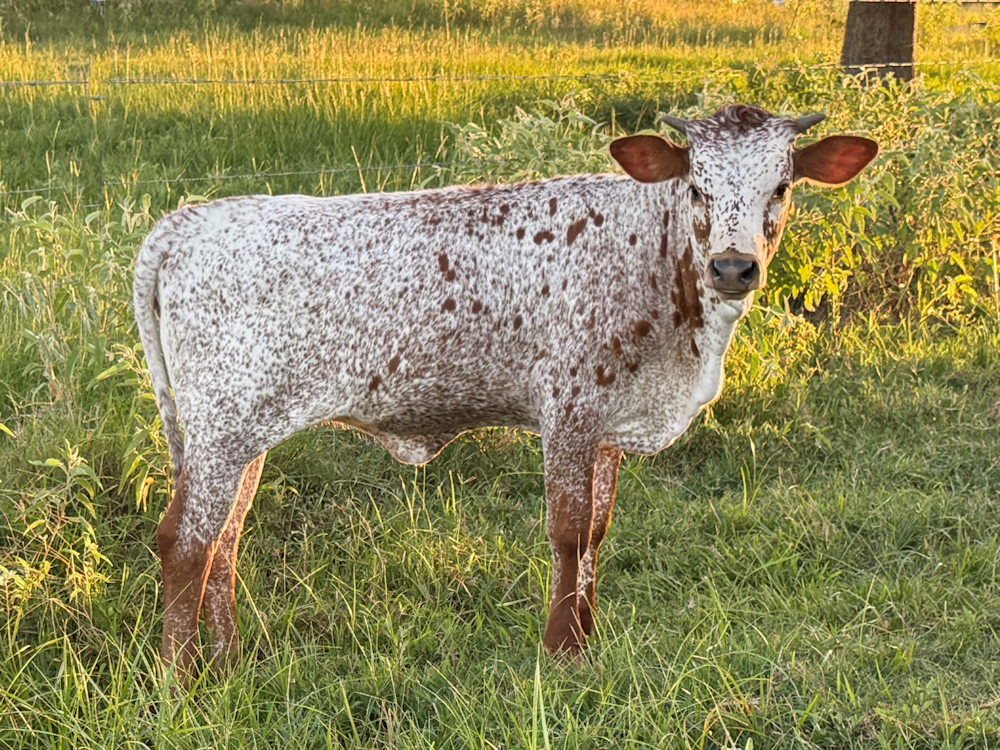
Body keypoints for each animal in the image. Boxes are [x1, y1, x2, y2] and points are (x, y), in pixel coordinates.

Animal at [133, 104, 877, 681]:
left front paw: (587, 640)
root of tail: (189, 221)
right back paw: (179, 684)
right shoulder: (569, 410)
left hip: (244, 435)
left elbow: (598, 534)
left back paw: (229, 664)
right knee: (184, 542)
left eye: (781, 186)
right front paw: (562, 654)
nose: (733, 266)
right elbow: (568, 534)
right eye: (696, 187)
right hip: (221, 428)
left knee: (225, 538)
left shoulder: (608, 426)